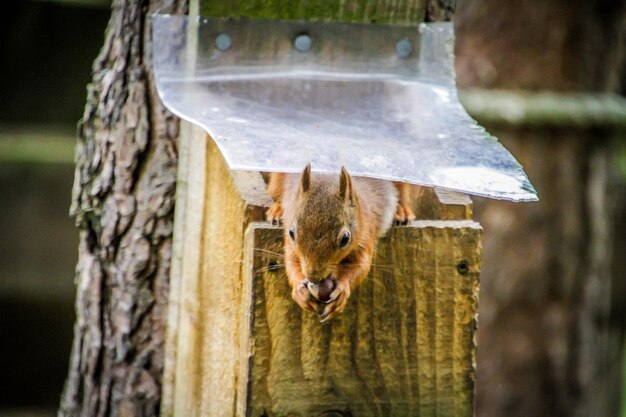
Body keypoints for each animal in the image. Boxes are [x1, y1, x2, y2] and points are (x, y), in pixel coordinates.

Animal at [266, 164, 412, 320]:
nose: (313, 277)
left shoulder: (366, 233)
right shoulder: (290, 241)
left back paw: (402, 211)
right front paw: (299, 289)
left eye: (345, 239)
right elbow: (291, 261)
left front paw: (342, 288)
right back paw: (277, 210)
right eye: (291, 233)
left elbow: (361, 265)